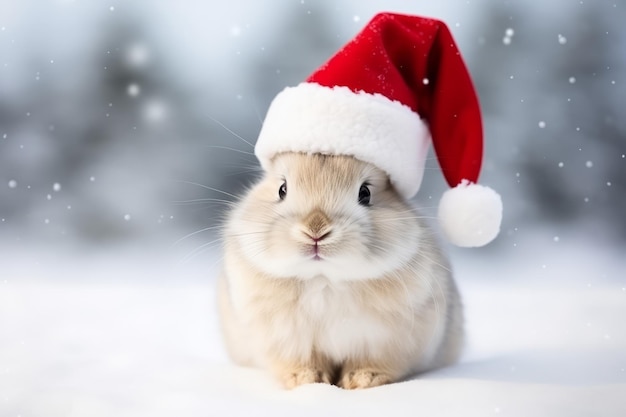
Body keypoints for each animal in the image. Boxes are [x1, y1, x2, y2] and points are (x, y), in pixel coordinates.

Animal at [217, 151, 460, 388]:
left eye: (365, 193)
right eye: (282, 190)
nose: (316, 230)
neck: (324, 279)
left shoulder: (384, 341)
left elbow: (373, 362)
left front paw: (362, 380)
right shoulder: (287, 341)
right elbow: (302, 362)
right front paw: (306, 379)